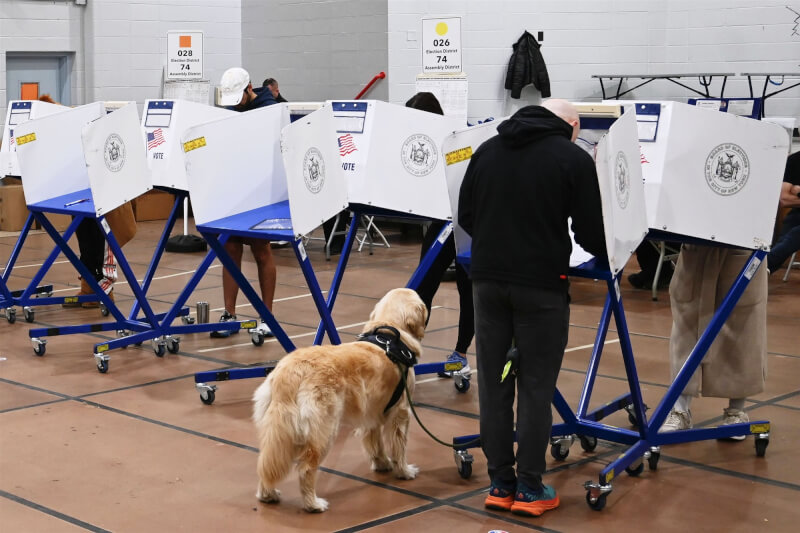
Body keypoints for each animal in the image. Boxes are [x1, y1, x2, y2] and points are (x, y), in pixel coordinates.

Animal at [252, 286, 428, 512]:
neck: (390, 336)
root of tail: (291, 371)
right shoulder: (401, 412)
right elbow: (400, 447)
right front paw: (404, 471)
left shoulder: (372, 413)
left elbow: (376, 443)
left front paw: (382, 464)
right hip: (324, 431)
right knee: (306, 468)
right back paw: (313, 504)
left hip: (277, 431)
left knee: (267, 462)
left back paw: (268, 494)